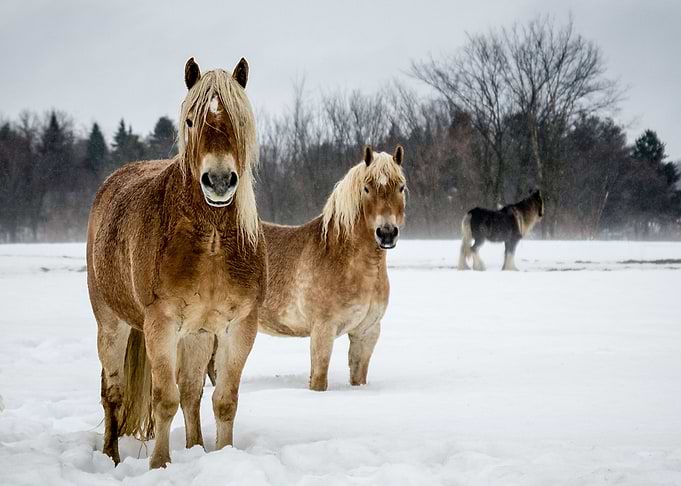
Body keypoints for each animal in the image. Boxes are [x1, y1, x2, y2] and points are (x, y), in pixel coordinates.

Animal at [86, 57, 265, 469]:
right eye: (190, 121)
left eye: (240, 120)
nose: (219, 181)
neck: (211, 238)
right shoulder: (161, 325)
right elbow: (163, 400)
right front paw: (159, 465)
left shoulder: (238, 328)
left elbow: (224, 401)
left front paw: (224, 458)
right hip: (112, 324)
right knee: (113, 393)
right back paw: (111, 459)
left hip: (198, 335)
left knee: (191, 392)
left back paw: (196, 447)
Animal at [253, 146, 406, 391]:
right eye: (366, 188)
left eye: (401, 187)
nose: (387, 233)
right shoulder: (323, 330)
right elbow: (318, 380)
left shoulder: (367, 332)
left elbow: (358, 377)